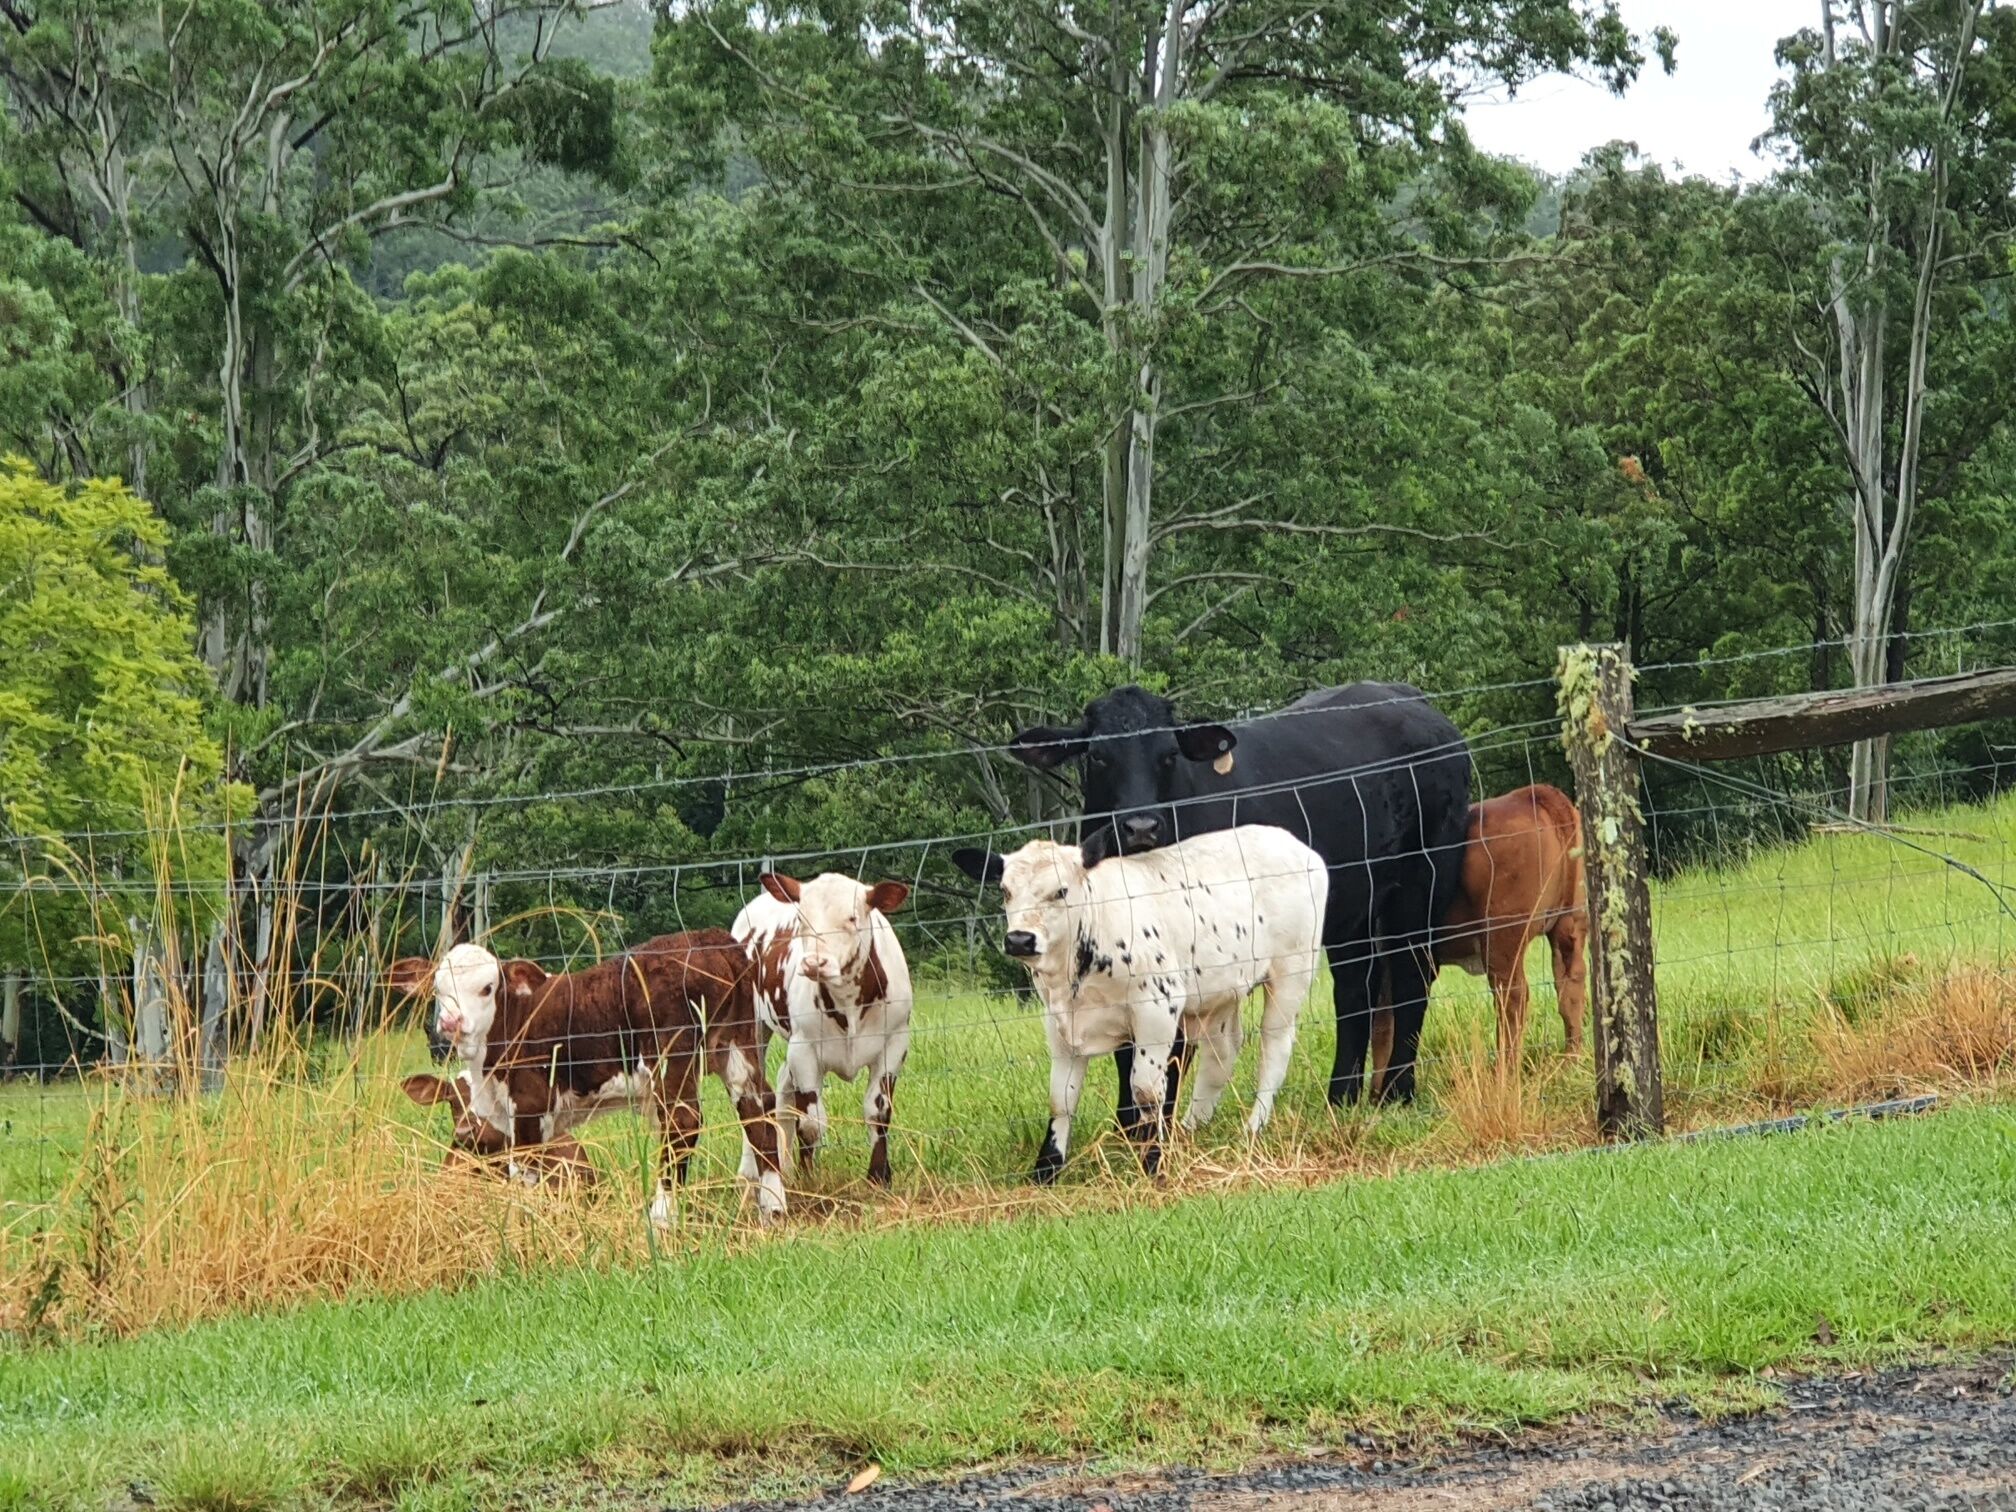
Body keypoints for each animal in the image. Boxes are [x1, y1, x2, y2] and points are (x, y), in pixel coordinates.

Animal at [385, 931, 786, 1225]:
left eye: (487, 988)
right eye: (438, 990)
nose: (451, 1023)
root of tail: (712, 941)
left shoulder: (530, 1101)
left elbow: (523, 1166)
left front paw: (522, 1224)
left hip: (671, 1054)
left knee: (683, 1121)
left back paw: (660, 1217)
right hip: (738, 1044)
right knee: (758, 1108)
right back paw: (773, 1207)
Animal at [733, 874, 915, 1185]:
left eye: (853, 918)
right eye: (801, 919)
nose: (814, 963)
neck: (848, 1001)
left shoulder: (894, 1043)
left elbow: (878, 1112)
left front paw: (879, 1177)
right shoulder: (804, 1050)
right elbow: (811, 1123)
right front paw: (809, 1179)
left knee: (782, 1084)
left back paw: (783, 1164)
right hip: (752, 1027)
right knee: (754, 1092)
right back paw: (750, 1171)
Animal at [955, 685, 1467, 1137]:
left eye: (1168, 754)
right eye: (1097, 756)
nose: (1141, 826)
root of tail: (1419, 706)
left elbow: (1170, 1055)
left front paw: (1150, 1132)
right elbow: (1129, 1051)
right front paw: (1125, 1128)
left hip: (1421, 887)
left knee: (1411, 979)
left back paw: (1397, 1091)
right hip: (1351, 914)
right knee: (1356, 991)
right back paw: (1342, 1096)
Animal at [955, 830, 1330, 1185]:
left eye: (1061, 891)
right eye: (1004, 891)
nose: (1020, 939)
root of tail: (1294, 843)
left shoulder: (1157, 1007)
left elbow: (1146, 1091)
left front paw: (1154, 1163)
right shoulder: (1059, 1022)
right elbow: (1061, 1099)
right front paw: (1046, 1171)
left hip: (1291, 973)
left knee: (1274, 1046)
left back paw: (1253, 1127)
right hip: (1219, 993)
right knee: (1222, 1052)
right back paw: (1191, 1128)